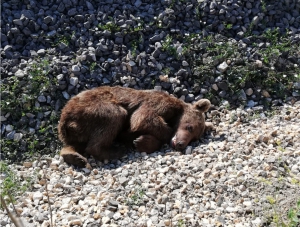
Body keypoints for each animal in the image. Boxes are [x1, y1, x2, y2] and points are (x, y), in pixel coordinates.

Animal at [58, 86, 213, 168]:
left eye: (194, 139)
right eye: (190, 127)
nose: (181, 144)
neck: (176, 112)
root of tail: (65, 117)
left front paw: (142, 141)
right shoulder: (157, 104)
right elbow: (143, 118)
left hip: (78, 129)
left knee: (74, 144)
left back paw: (74, 157)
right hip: (93, 108)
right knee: (115, 115)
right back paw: (115, 151)